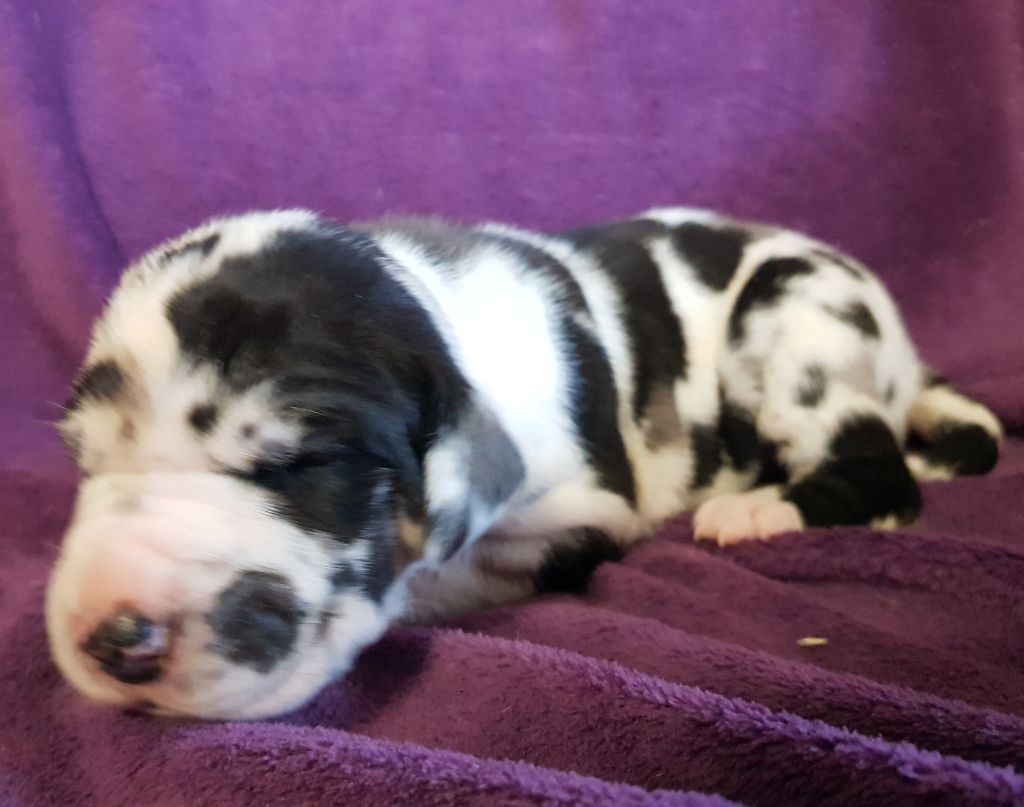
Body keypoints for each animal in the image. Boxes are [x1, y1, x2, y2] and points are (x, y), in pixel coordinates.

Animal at [47, 207, 1002, 719]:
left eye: (303, 459)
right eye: (84, 459)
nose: (114, 637)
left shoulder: (583, 518)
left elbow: (445, 573)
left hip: (795, 309)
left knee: (883, 473)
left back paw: (760, 507)